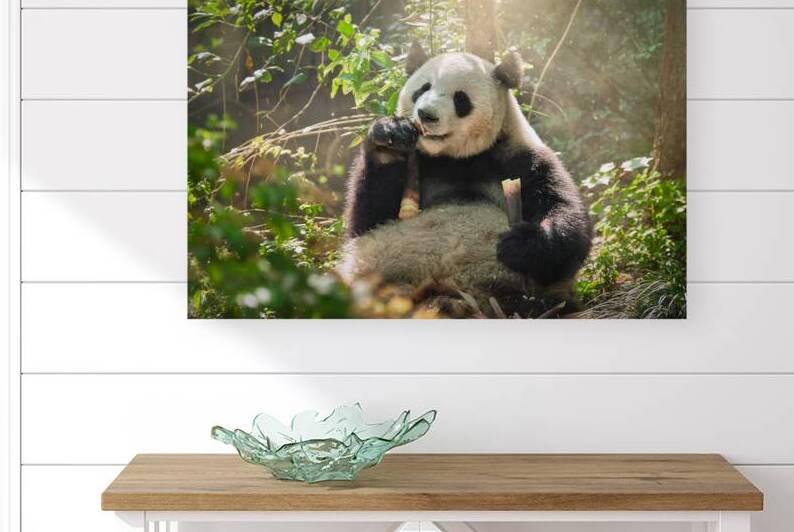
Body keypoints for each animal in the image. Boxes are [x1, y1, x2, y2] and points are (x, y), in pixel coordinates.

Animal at [339, 42, 592, 317]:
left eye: (460, 99)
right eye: (423, 89)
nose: (426, 115)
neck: (458, 159)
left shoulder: (523, 160)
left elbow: (567, 219)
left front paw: (519, 244)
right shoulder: (420, 164)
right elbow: (367, 219)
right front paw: (390, 136)